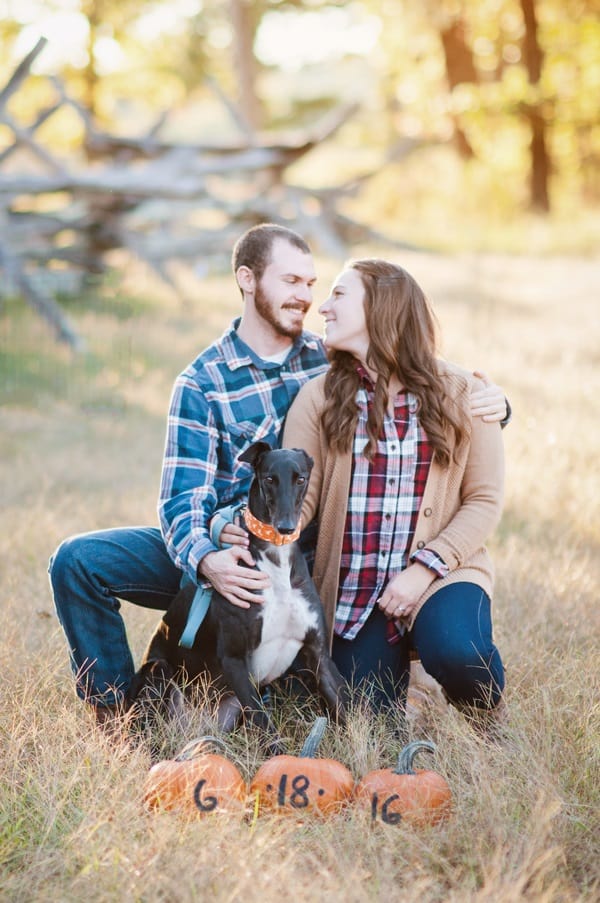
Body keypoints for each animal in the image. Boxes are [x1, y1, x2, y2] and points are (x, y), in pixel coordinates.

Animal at [129, 444, 350, 748]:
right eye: (269, 479)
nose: (285, 528)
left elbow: (344, 712)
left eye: (301, 479)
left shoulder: (319, 654)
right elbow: (266, 726)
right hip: (158, 674)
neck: (276, 561)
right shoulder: (234, 660)